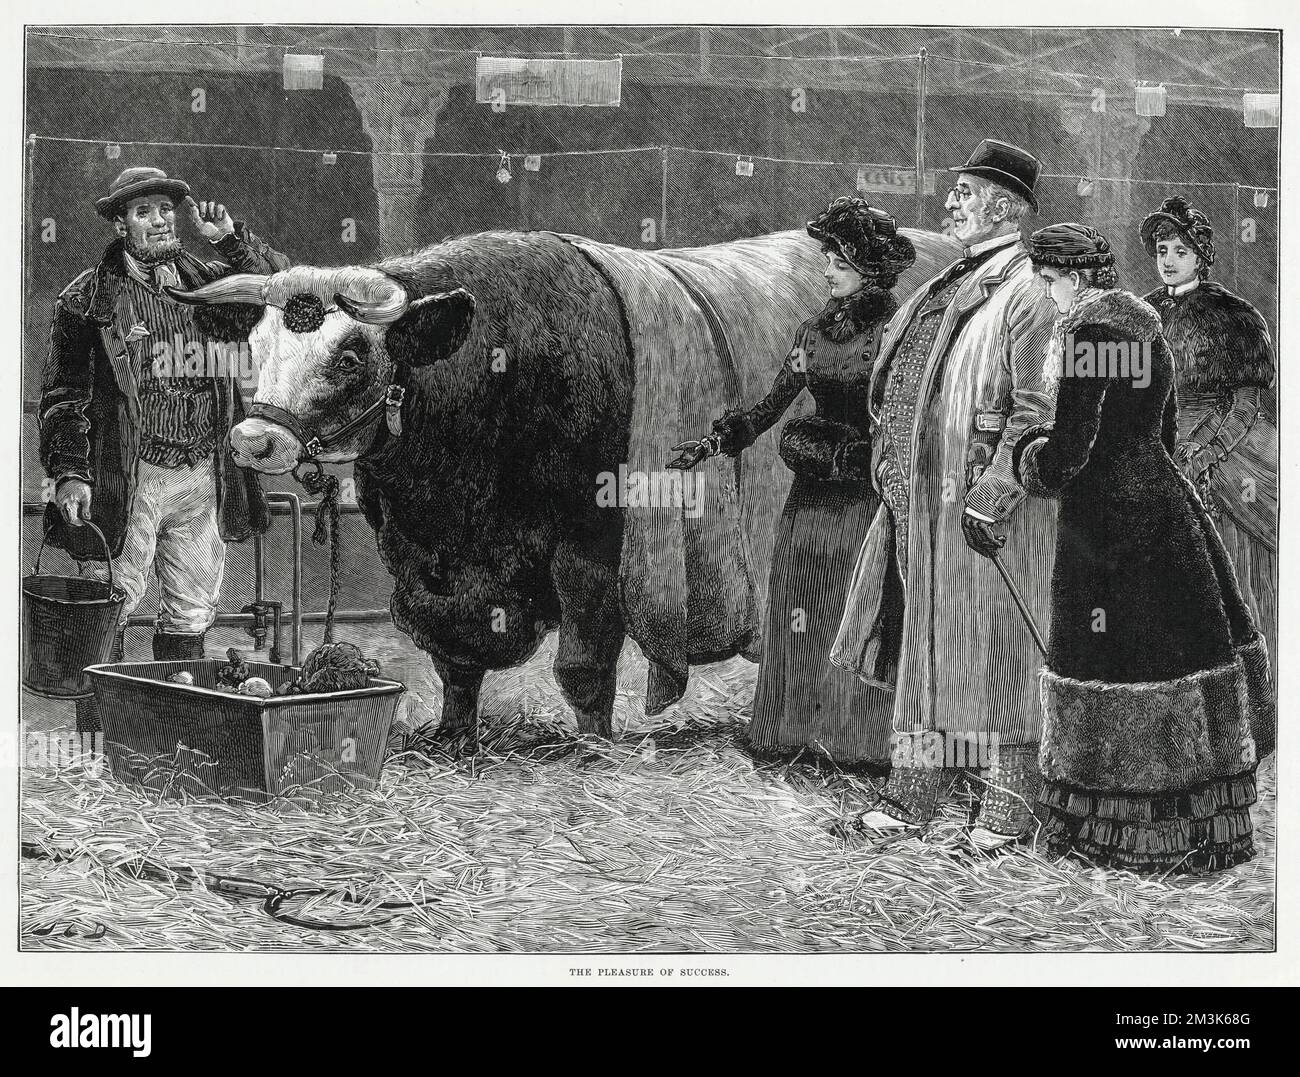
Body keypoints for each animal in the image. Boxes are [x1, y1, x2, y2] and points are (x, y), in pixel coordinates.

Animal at [167, 230, 961, 738]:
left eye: (352, 356)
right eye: (253, 343)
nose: (253, 439)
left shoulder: (590, 545)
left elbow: (584, 660)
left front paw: (591, 742)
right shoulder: (424, 561)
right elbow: (453, 659)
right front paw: (454, 732)